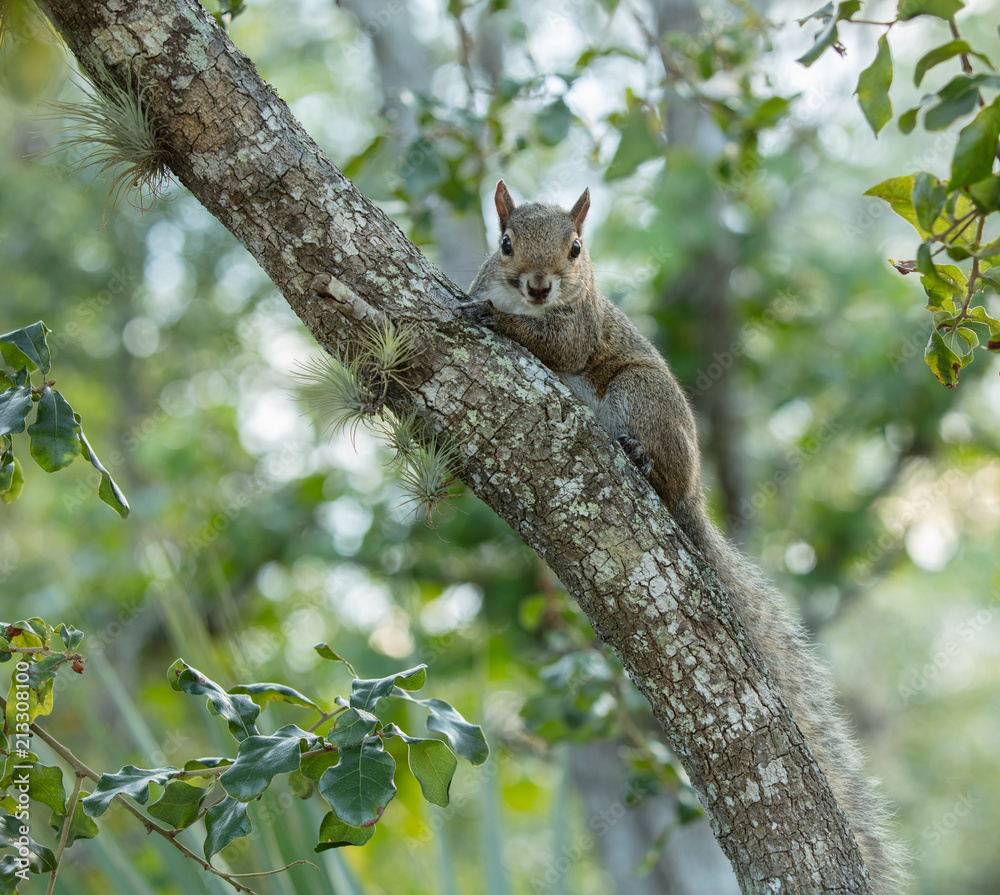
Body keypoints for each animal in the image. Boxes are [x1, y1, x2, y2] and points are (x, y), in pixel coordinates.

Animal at [462, 180, 906, 894]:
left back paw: (643, 462)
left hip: (639, 394)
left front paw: (496, 321)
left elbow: (559, 347)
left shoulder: (580, 328)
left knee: (660, 470)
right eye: (504, 242)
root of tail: (694, 488)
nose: (537, 285)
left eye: (576, 248)